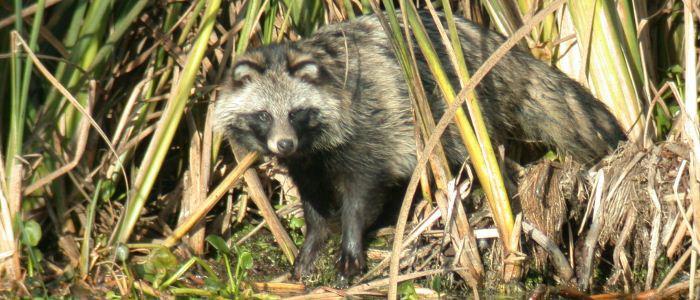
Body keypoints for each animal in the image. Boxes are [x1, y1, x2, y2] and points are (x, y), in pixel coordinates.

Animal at [212, 11, 624, 278]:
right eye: (264, 115)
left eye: (296, 113)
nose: (282, 144)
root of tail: (495, 48)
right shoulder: (307, 160)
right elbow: (314, 201)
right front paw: (312, 244)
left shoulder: (371, 126)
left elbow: (361, 193)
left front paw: (351, 243)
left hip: (458, 108)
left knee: (482, 158)